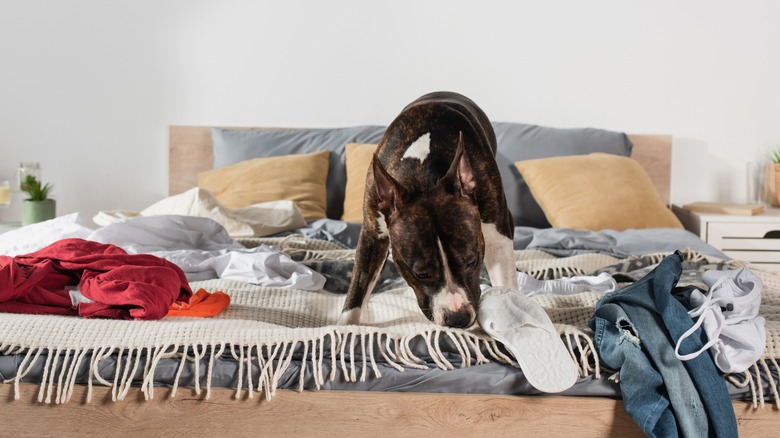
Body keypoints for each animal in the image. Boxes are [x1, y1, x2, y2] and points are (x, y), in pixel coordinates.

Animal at [336, 92, 516, 328]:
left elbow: (506, 283)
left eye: (471, 262)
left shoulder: (498, 235)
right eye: (421, 274)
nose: (457, 318)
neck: (423, 175)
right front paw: (344, 326)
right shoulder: (372, 236)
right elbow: (358, 286)